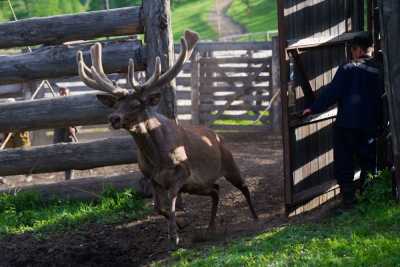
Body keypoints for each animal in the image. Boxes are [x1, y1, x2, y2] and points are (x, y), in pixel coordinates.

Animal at [76, 30, 258, 250]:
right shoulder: (152, 177)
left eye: (136, 104)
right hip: (198, 185)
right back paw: (208, 230)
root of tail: (217, 136)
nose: (114, 118)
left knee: (243, 185)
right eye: (116, 105)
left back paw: (255, 217)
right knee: (216, 190)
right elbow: (157, 207)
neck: (157, 158)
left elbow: (171, 200)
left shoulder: (182, 172)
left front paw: (174, 237)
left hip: (228, 163)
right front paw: (179, 225)